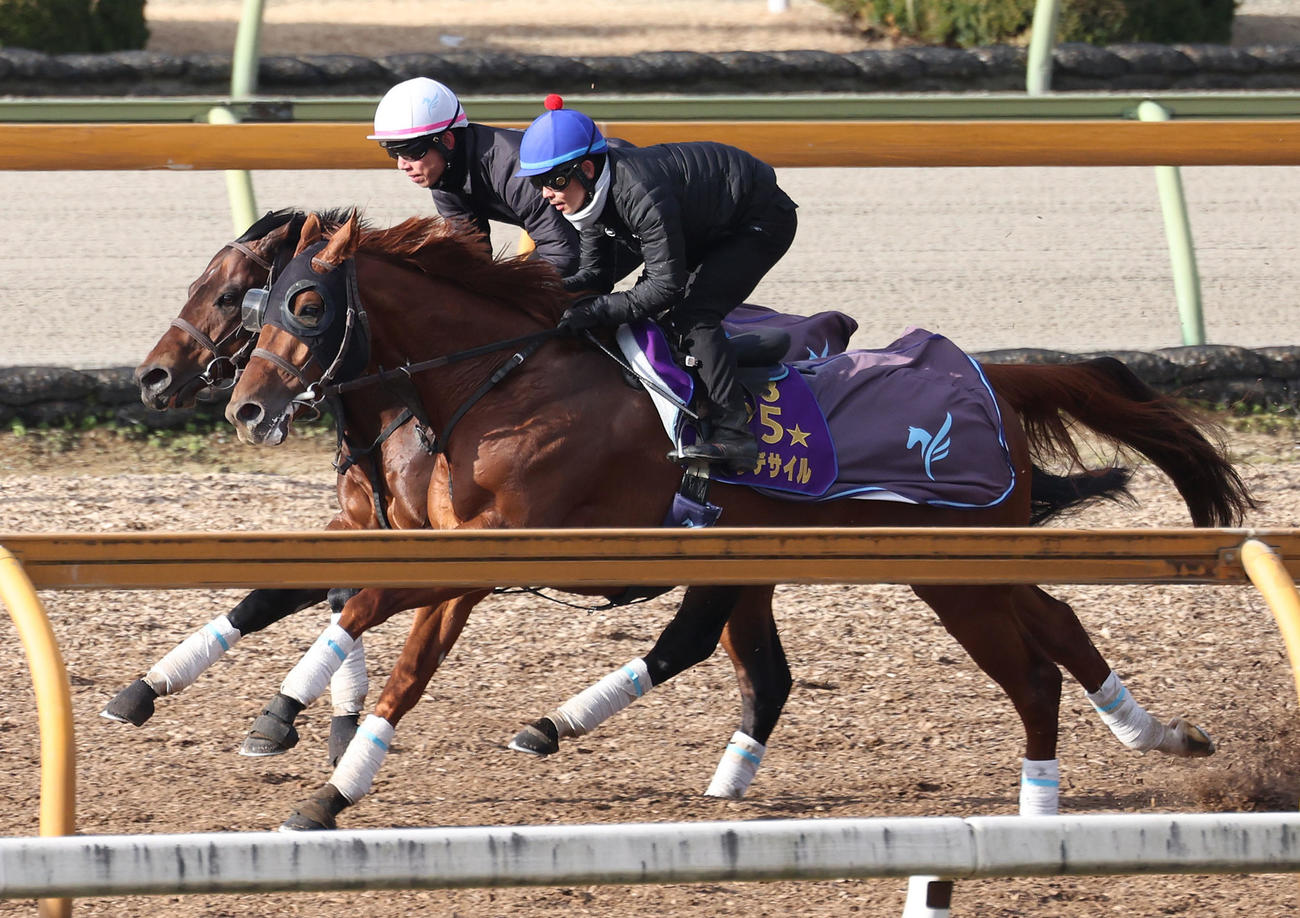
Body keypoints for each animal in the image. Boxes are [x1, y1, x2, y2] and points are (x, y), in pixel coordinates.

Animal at [219, 210, 1253, 831]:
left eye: (305, 302)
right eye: (256, 304)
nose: (244, 406)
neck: (505, 379)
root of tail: (990, 376)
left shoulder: (487, 550)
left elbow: (385, 638)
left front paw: (312, 762)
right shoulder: (447, 544)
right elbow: (370, 624)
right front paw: (318, 751)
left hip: (949, 567)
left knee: (1032, 671)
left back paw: (1043, 810)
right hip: (938, 557)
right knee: (1051, 628)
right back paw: (1161, 738)